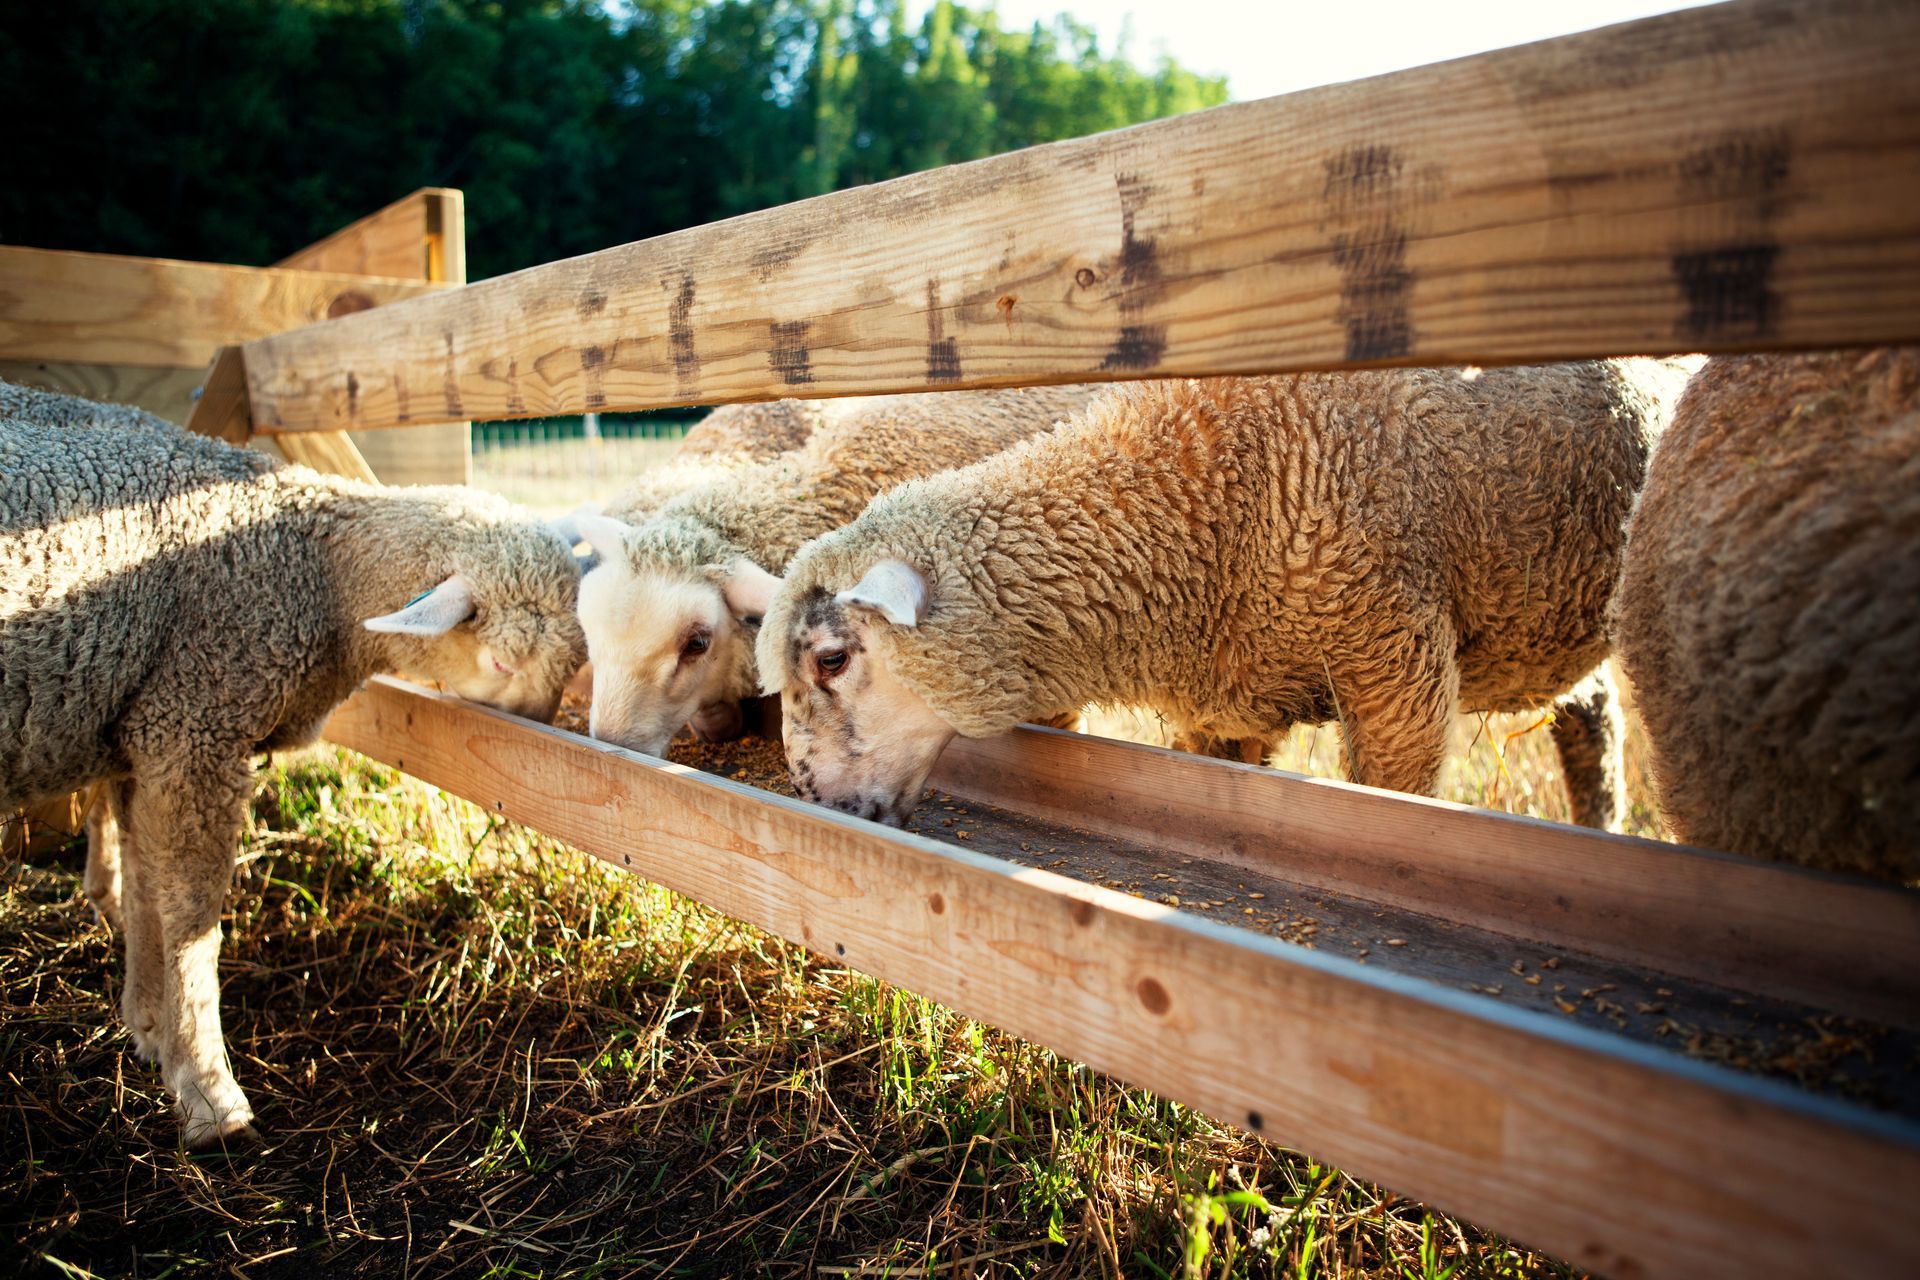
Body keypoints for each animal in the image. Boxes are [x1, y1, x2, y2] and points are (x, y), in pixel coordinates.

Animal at [0, 382, 587, 1145]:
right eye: (503, 662)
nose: (544, 740)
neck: (310, 564)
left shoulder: (145, 728)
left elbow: (145, 888)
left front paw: (150, 1026)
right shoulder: (196, 725)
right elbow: (188, 914)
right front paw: (207, 1091)